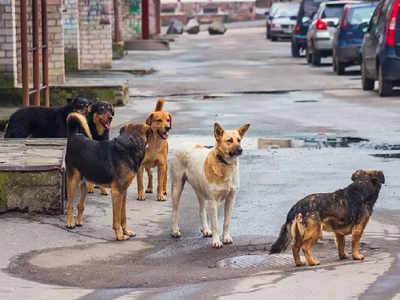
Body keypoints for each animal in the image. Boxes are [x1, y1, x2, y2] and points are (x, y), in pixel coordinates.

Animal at [65, 111, 150, 240]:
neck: (129, 144)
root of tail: (74, 135)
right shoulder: (116, 192)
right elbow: (117, 218)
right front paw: (119, 235)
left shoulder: (123, 191)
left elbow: (123, 216)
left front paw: (126, 231)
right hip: (73, 181)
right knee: (70, 205)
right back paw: (70, 223)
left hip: (86, 182)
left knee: (80, 205)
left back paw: (78, 221)